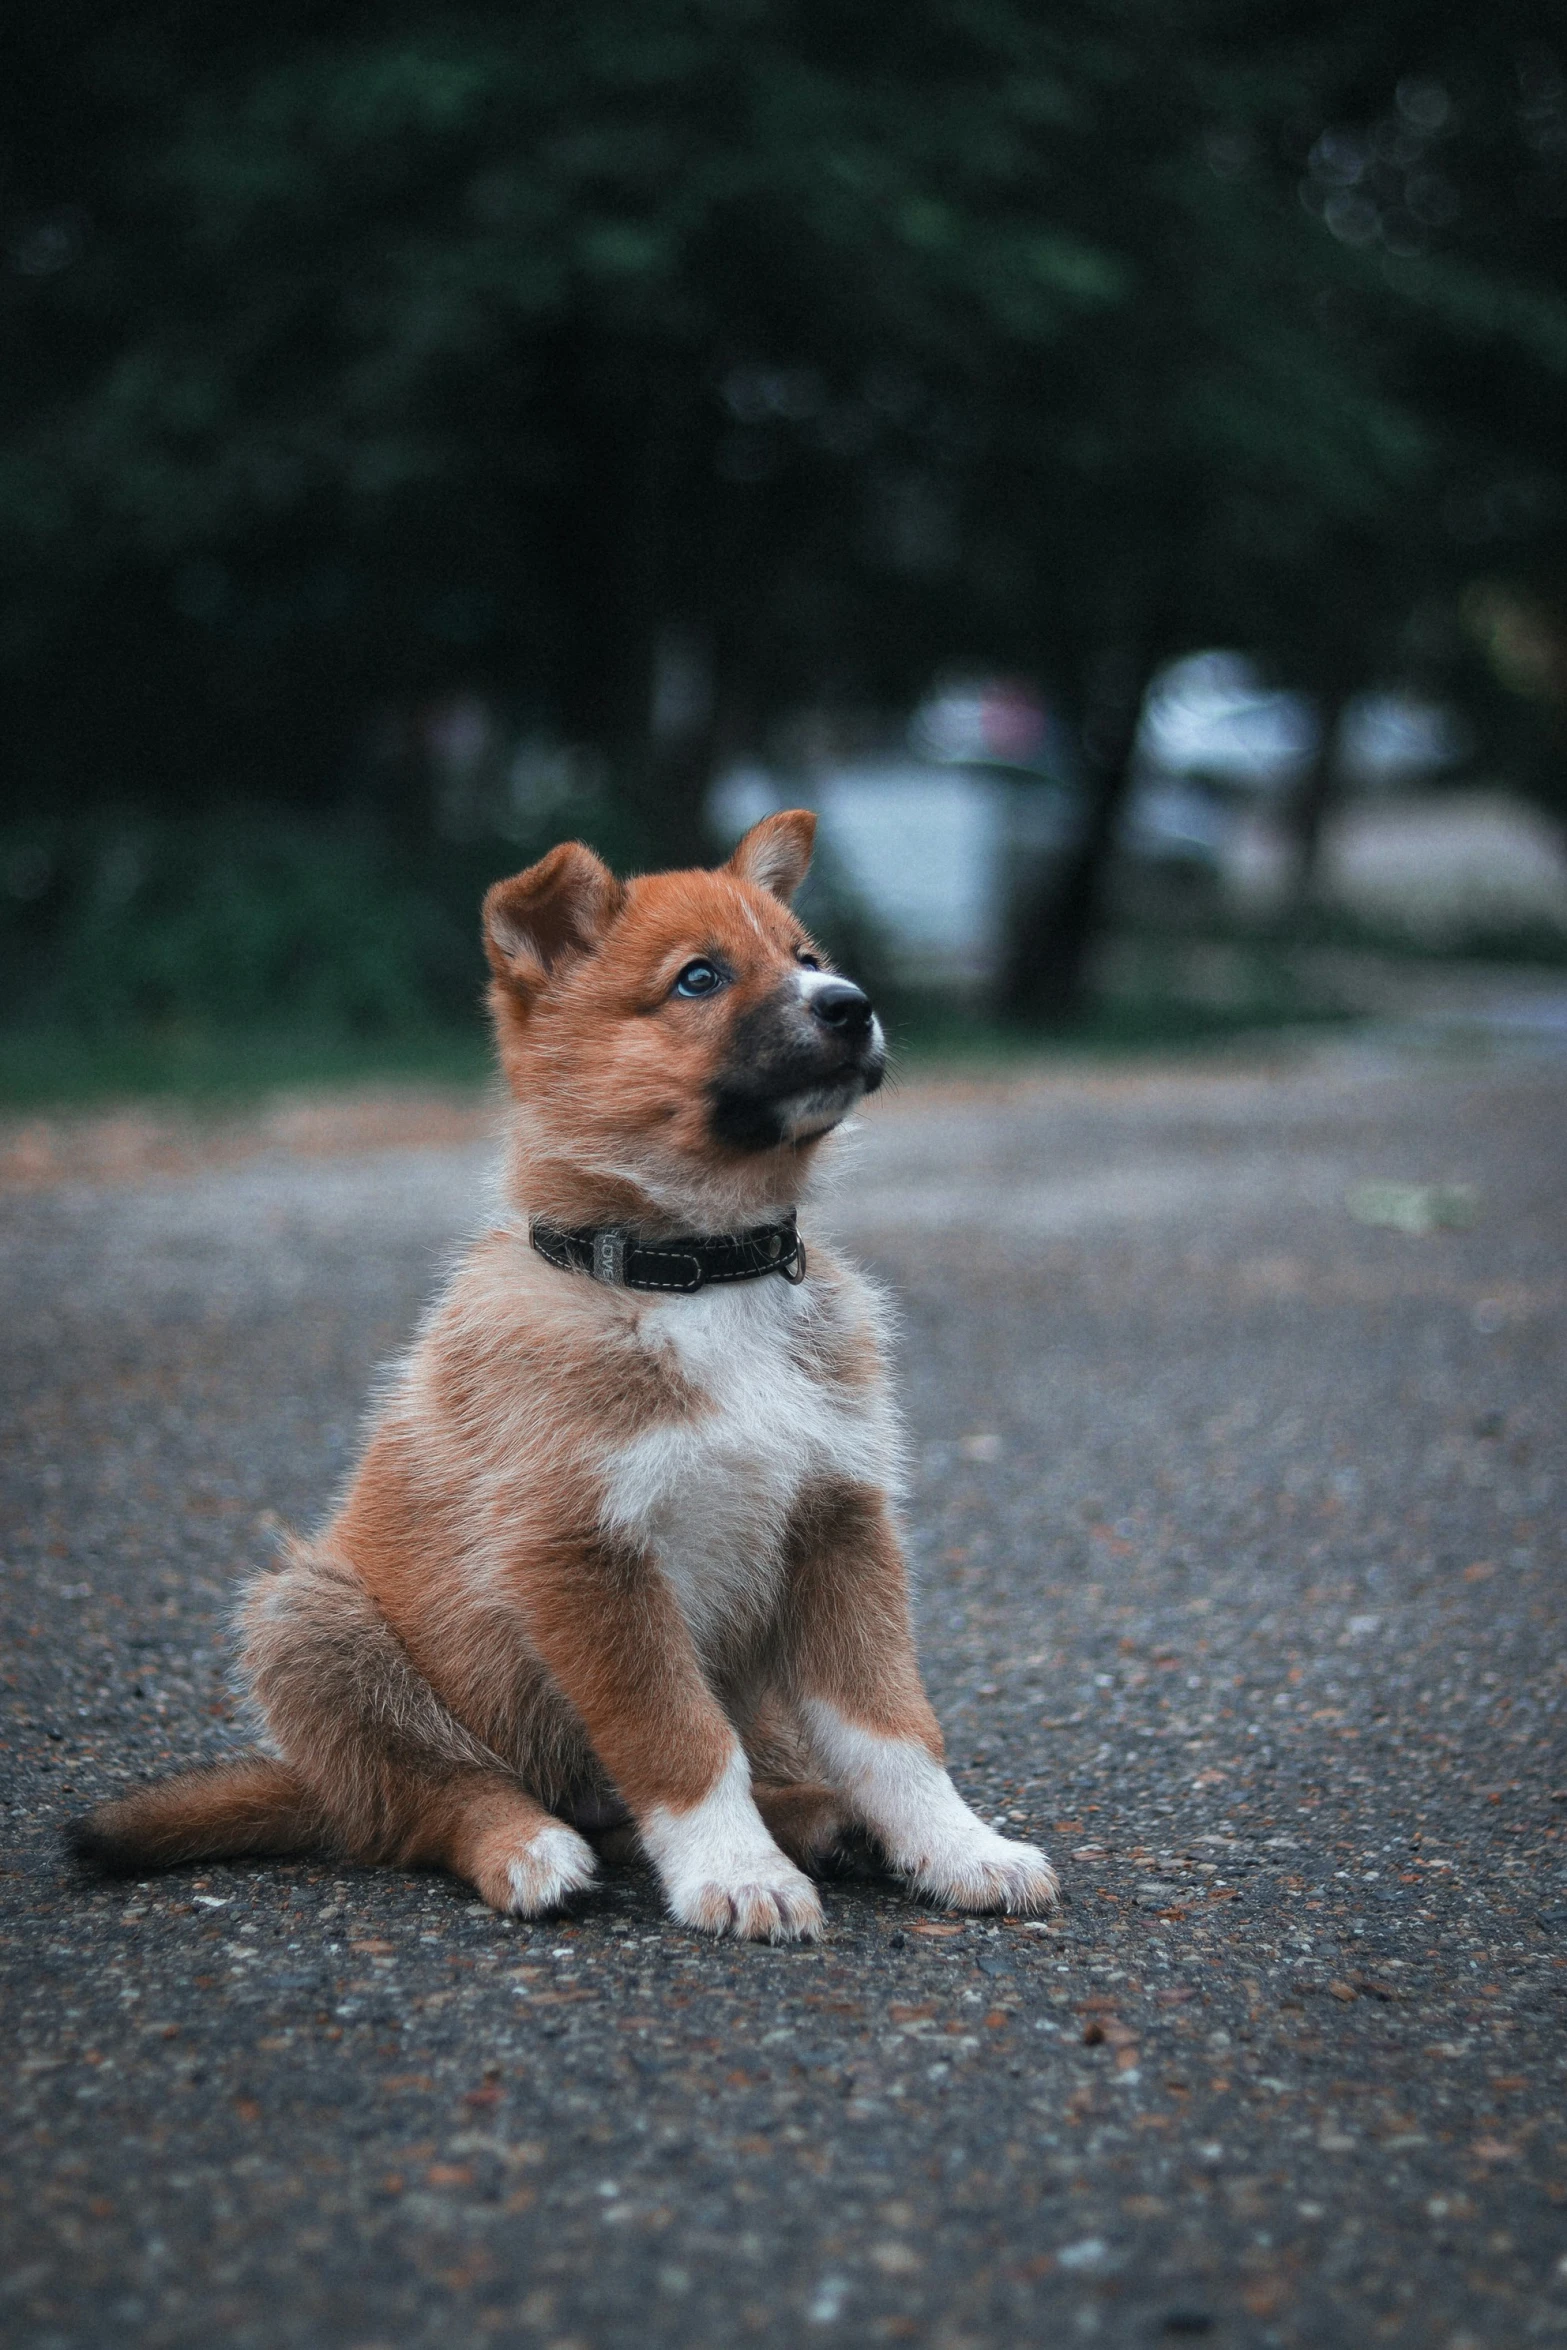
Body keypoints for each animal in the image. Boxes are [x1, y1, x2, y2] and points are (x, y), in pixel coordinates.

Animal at [67, 817, 1061, 1936]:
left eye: (805, 957)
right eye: (699, 978)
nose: (849, 1002)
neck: (698, 1274)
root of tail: (309, 1784)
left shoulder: (839, 1521)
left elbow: (891, 1729)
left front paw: (958, 1848)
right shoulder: (581, 1553)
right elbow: (678, 1741)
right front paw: (734, 1873)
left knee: (636, 1800)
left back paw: (817, 1817)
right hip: (312, 1622)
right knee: (429, 1799)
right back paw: (529, 1846)